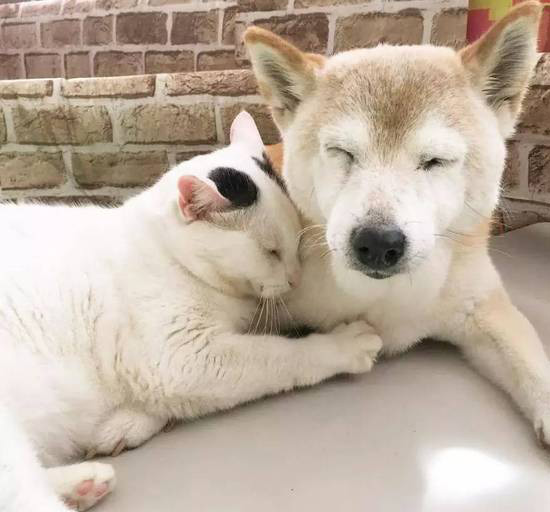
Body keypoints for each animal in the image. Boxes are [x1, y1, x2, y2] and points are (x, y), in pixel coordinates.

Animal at [0, 113, 384, 512]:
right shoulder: (180, 358)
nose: (295, 278)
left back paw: (84, 483)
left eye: (296, 243)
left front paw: (124, 424)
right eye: (271, 252)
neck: (168, 252)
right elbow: (279, 356)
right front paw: (343, 345)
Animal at [248, 2, 550, 446]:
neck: (383, 299)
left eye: (435, 160)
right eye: (342, 152)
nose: (376, 241)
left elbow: (531, 362)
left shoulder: (481, 305)